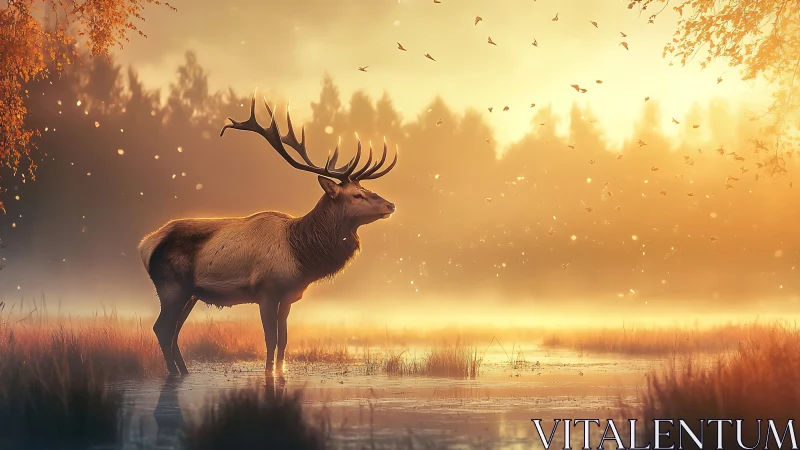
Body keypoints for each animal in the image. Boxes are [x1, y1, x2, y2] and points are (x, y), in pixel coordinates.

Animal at [138, 94, 397, 375]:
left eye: (366, 189)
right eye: (357, 195)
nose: (390, 205)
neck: (302, 257)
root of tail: (145, 245)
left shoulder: (289, 296)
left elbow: (283, 340)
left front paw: (280, 372)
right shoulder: (266, 290)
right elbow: (270, 339)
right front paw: (268, 373)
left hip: (191, 294)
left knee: (174, 331)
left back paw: (184, 372)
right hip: (171, 286)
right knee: (162, 329)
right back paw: (175, 373)